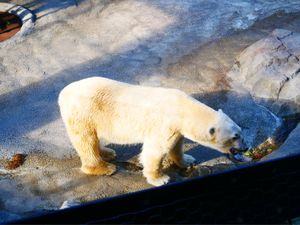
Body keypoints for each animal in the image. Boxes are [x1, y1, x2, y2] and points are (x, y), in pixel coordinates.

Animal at [57, 77, 247, 186]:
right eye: (235, 137)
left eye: (240, 131)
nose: (245, 148)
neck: (182, 109)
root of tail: (63, 93)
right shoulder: (164, 124)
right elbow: (155, 151)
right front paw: (160, 178)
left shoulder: (176, 128)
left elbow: (176, 146)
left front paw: (187, 160)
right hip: (84, 112)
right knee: (86, 140)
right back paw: (104, 167)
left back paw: (108, 153)